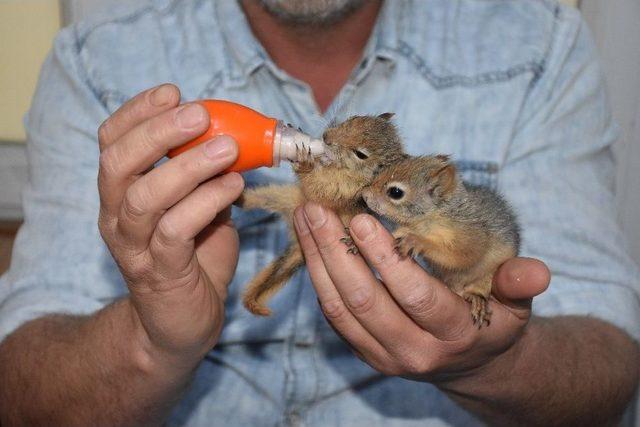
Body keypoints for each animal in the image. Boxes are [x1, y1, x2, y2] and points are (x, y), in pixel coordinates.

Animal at [238, 112, 408, 316]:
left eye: (361, 154)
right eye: (353, 119)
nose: (326, 137)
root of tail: (298, 245)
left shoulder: (343, 189)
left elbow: (318, 187)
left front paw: (305, 163)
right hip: (281, 197)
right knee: (258, 199)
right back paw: (240, 197)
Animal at [362, 155, 516, 326]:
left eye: (395, 192)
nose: (364, 195)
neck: (435, 214)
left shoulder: (470, 232)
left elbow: (461, 255)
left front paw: (416, 241)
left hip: (487, 275)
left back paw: (478, 300)